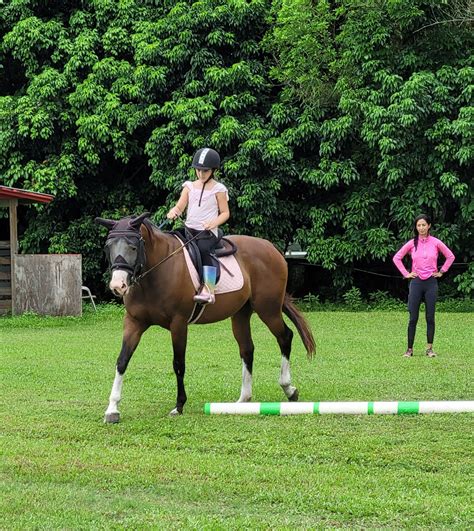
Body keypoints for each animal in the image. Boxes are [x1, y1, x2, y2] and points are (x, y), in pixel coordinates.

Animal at [95, 212, 314, 424]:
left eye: (133, 246)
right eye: (108, 247)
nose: (118, 286)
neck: (156, 272)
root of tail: (271, 248)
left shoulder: (179, 324)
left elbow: (178, 363)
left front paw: (179, 406)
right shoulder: (134, 322)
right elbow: (122, 361)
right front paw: (112, 409)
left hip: (268, 309)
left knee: (285, 337)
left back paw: (288, 388)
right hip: (241, 314)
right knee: (247, 349)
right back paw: (243, 399)